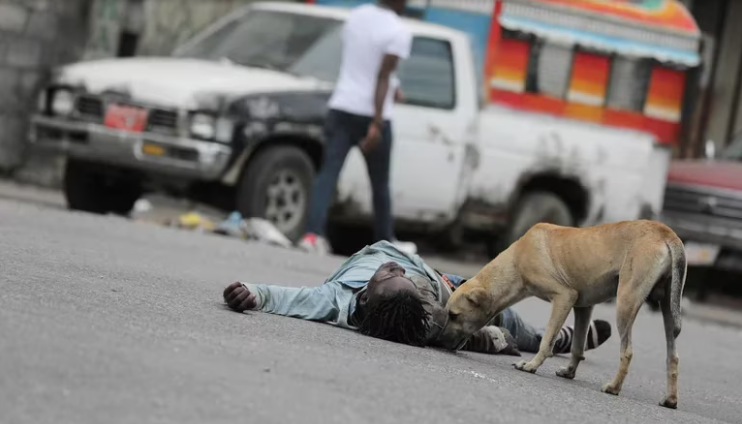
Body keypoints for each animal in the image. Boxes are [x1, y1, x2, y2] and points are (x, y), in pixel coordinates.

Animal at [438, 220, 688, 410]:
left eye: (454, 315)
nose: (440, 342)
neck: (516, 261)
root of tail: (665, 232)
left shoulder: (563, 297)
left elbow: (547, 340)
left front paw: (532, 365)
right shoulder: (582, 307)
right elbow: (578, 346)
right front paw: (569, 371)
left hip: (625, 302)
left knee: (627, 352)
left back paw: (614, 387)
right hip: (668, 309)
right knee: (673, 356)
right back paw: (670, 399)